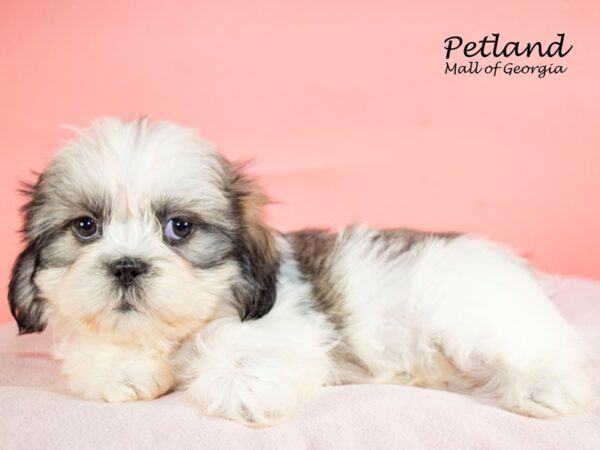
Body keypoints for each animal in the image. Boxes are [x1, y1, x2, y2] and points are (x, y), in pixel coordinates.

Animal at [9, 117, 596, 426]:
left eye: (180, 228)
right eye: (85, 227)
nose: (127, 266)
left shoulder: (286, 328)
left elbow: (242, 355)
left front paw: (235, 381)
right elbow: (107, 359)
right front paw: (125, 369)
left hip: (470, 314)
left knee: (542, 352)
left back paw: (543, 389)